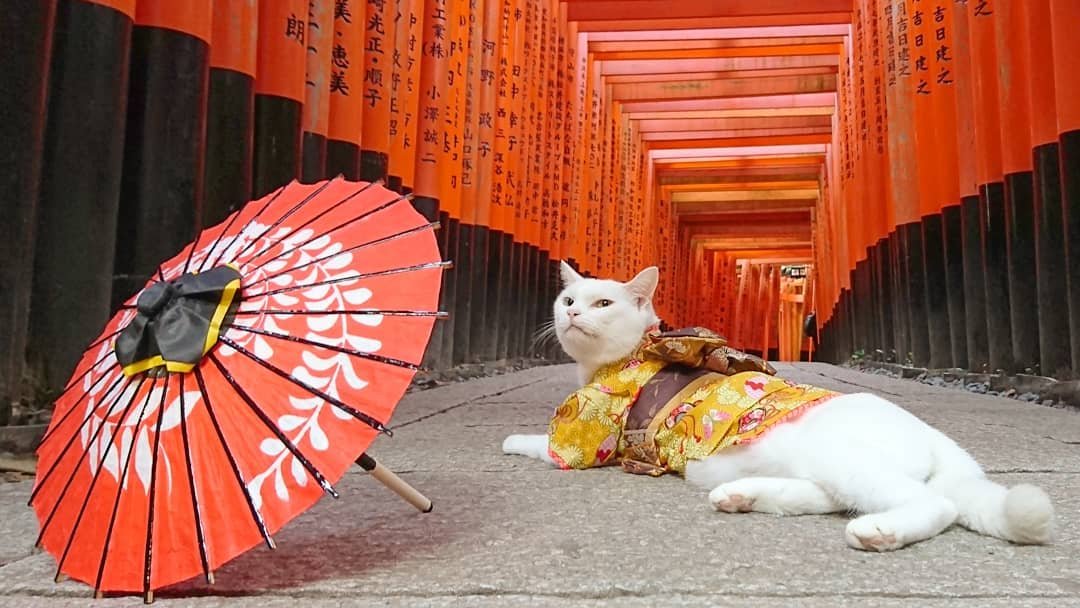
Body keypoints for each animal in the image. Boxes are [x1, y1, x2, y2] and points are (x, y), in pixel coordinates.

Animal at [505, 261, 1054, 552]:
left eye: (603, 305)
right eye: (569, 300)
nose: (572, 314)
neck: (624, 358)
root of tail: (941, 440)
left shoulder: (589, 438)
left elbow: (543, 444)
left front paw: (512, 439)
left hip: (843, 458)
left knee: (932, 505)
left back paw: (879, 532)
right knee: (826, 496)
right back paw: (740, 496)